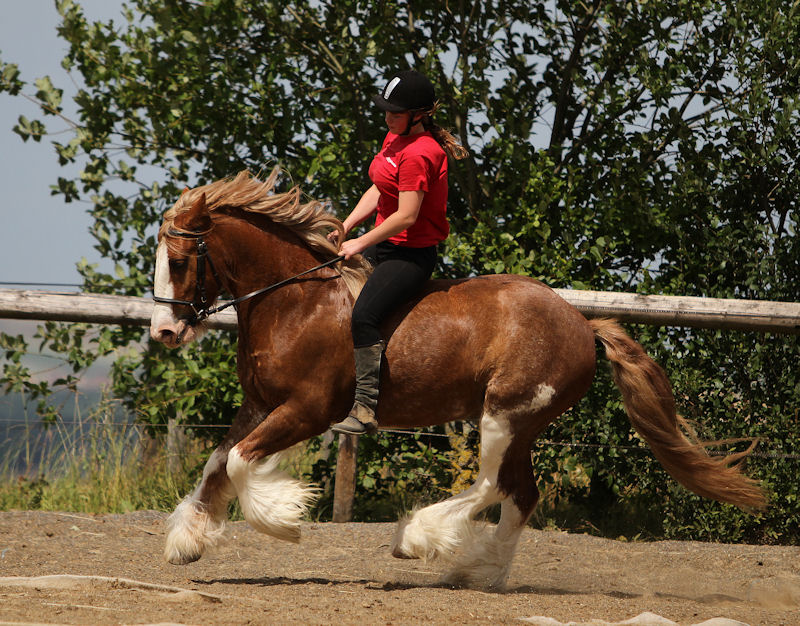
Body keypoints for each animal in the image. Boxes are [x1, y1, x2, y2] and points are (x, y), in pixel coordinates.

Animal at [147, 169, 764, 584]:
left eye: (178, 262)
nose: (163, 333)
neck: (294, 301)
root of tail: (581, 322)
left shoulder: (307, 410)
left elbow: (237, 460)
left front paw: (283, 522)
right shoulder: (258, 404)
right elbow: (217, 460)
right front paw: (186, 541)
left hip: (506, 413)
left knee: (492, 485)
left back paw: (418, 539)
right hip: (523, 425)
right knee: (521, 494)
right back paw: (480, 572)